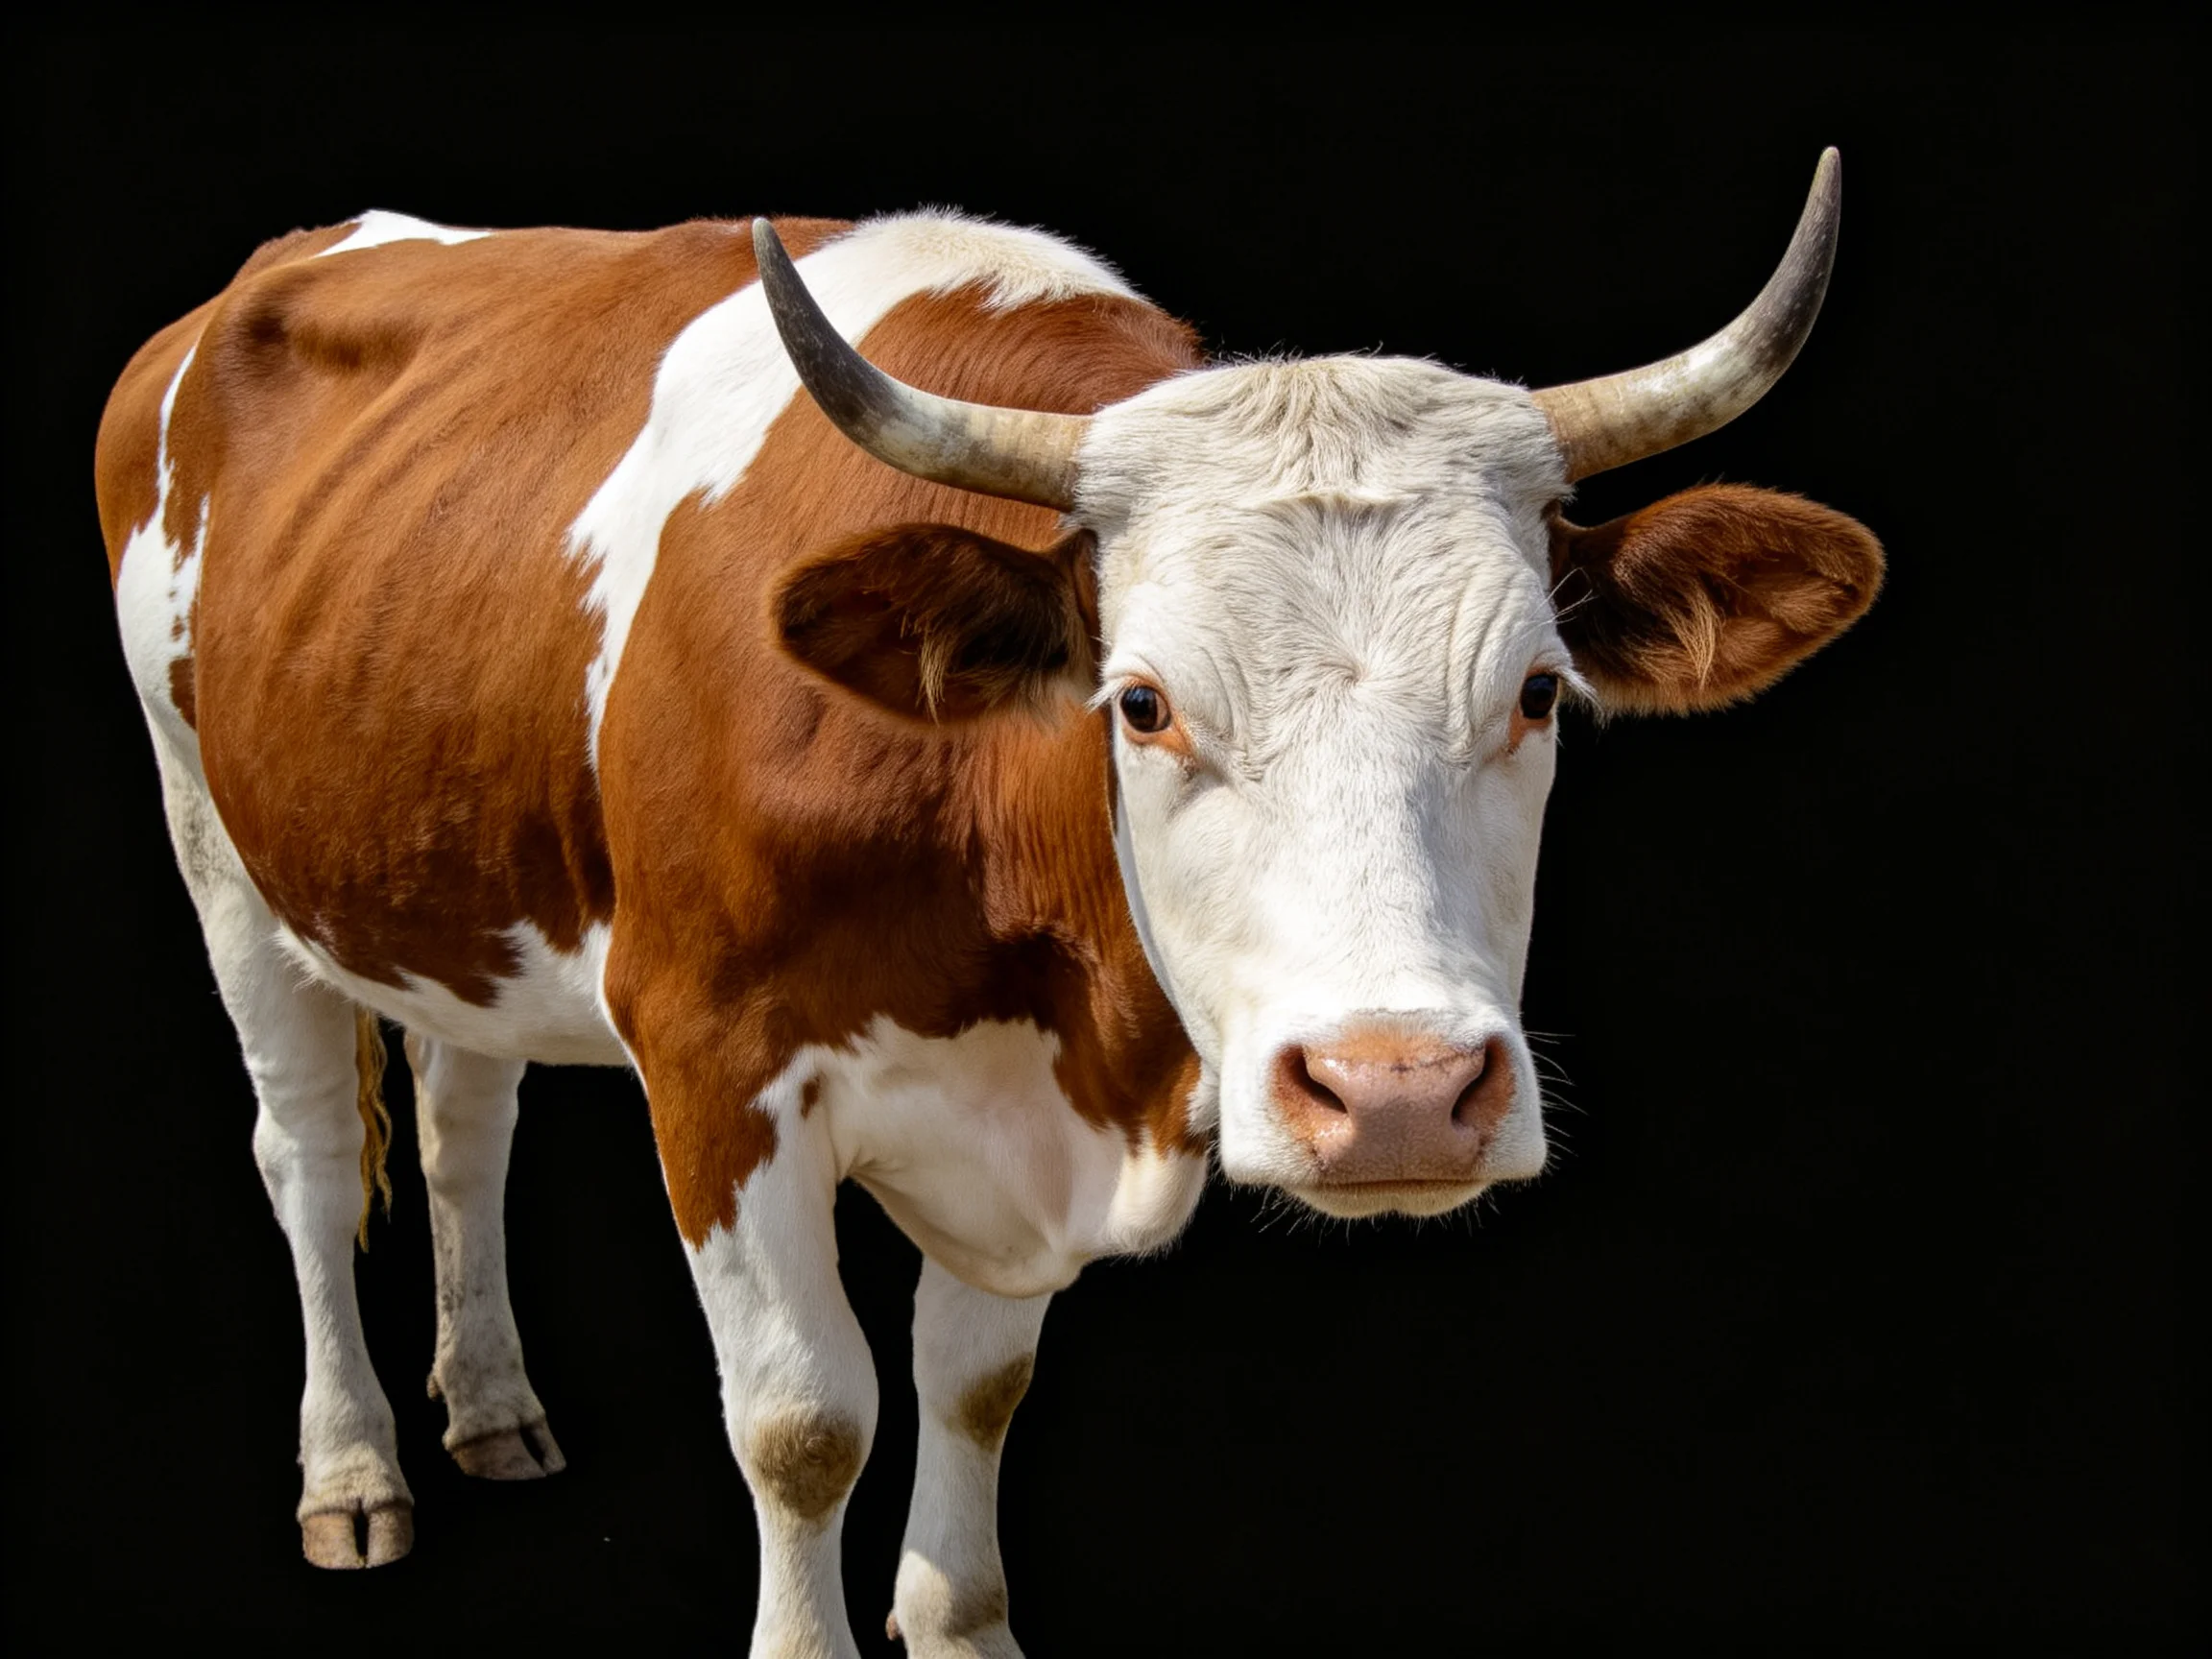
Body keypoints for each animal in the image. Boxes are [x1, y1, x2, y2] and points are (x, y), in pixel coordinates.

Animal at [97, 153, 1880, 1655]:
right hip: (215, 845)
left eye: (1537, 691)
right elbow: (804, 1424)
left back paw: (489, 1406)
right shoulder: (712, 1059)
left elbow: (971, 1391)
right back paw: (355, 1472)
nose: (1395, 1094)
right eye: (1140, 703)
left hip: (446, 875)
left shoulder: (1022, 1127)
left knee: (466, 1118)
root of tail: (291, 256)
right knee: (310, 1161)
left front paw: (957, 1618)